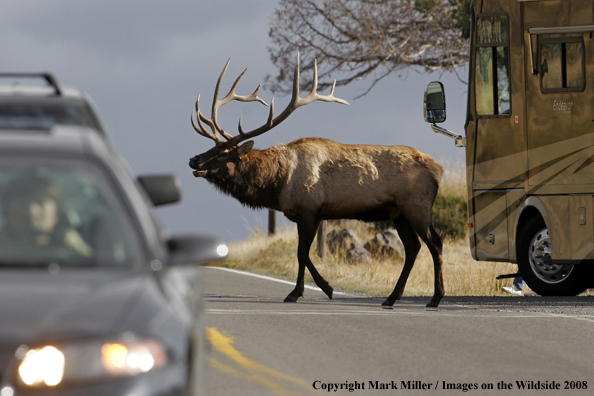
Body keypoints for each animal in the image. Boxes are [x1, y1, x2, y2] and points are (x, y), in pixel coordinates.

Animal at [187, 55, 442, 308]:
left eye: (223, 153)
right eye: (212, 147)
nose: (193, 160)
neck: (277, 184)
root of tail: (437, 169)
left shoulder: (308, 209)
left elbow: (302, 253)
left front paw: (307, 291)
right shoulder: (315, 215)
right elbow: (304, 253)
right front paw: (316, 288)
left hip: (416, 205)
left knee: (434, 242)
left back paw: (435, 298)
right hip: (398, 212)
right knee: (413, 247)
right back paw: (391, 297)